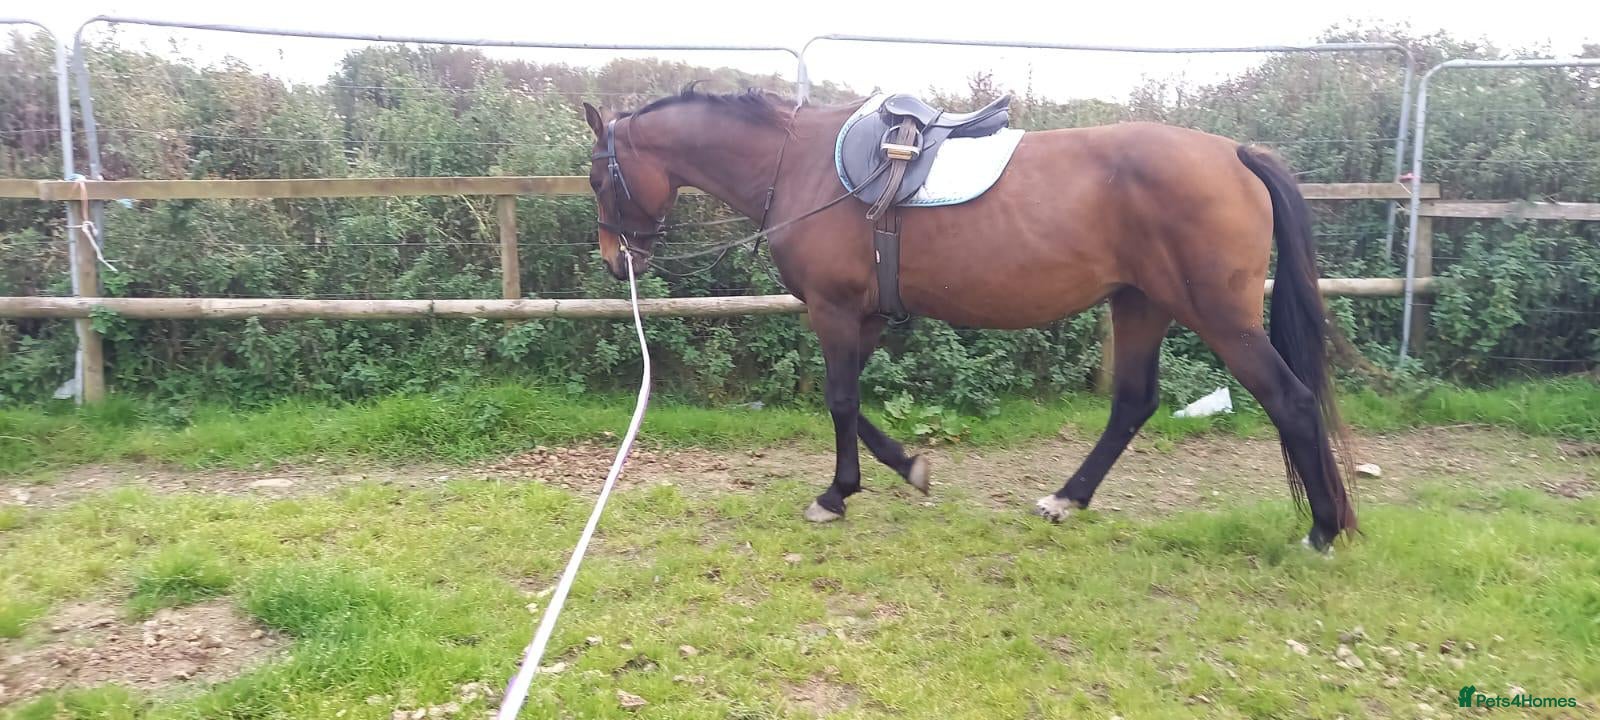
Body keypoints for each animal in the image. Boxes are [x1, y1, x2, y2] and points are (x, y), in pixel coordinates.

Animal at [579, 86, 1357, 551]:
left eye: (596, 175)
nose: (616, 260)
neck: (796, 164)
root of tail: (1235, 155)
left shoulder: (835, 310)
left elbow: (839, 400)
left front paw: (836, 494)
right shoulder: (865, 315)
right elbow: (855, 404)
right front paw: (908, 468)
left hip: (1218, 316)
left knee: (1290, 400)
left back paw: (1322, 530)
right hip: (1141, 303)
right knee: (1133, 402)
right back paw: (1065, 499)